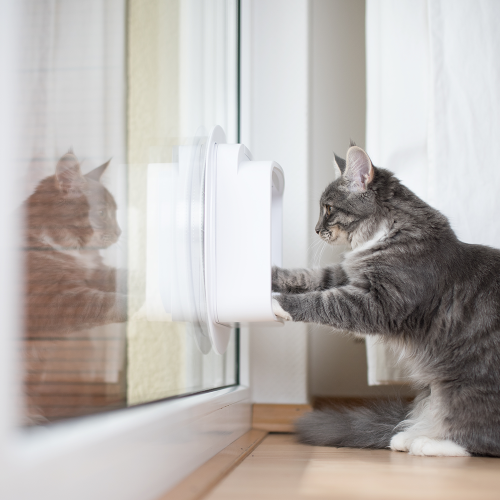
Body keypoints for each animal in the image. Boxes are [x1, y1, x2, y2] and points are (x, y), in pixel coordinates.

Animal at [23, 150, 127, 334]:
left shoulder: (96, 272)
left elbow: (126, 276)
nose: (119, 232)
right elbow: (103, 302)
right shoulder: (48, 298)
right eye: (101, 213)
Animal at [272, 144, 500, 458]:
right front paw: (266, 276)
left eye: (328, 209)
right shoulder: (347, 275)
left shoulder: (379, 303)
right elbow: (307, 276)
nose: (316, 229)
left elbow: (321, 302)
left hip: (465, 385)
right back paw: (408, 435)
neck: (386, 233)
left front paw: (279, 303)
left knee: (481, 436)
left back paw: (427, 442)